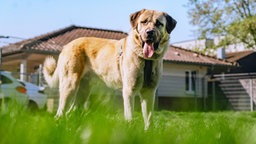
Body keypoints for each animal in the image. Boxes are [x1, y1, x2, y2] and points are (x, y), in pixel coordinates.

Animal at [44, 8, 176, 128]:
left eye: (159, 23)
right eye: (143, 22)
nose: (149, 33)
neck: (146, 60)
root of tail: (66, 46)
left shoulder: (149, 92)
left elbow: (149, 119)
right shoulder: (129, 90)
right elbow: (130, 116)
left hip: (83, 92)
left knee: (70, 112)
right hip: (69, 86)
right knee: (60, 113)